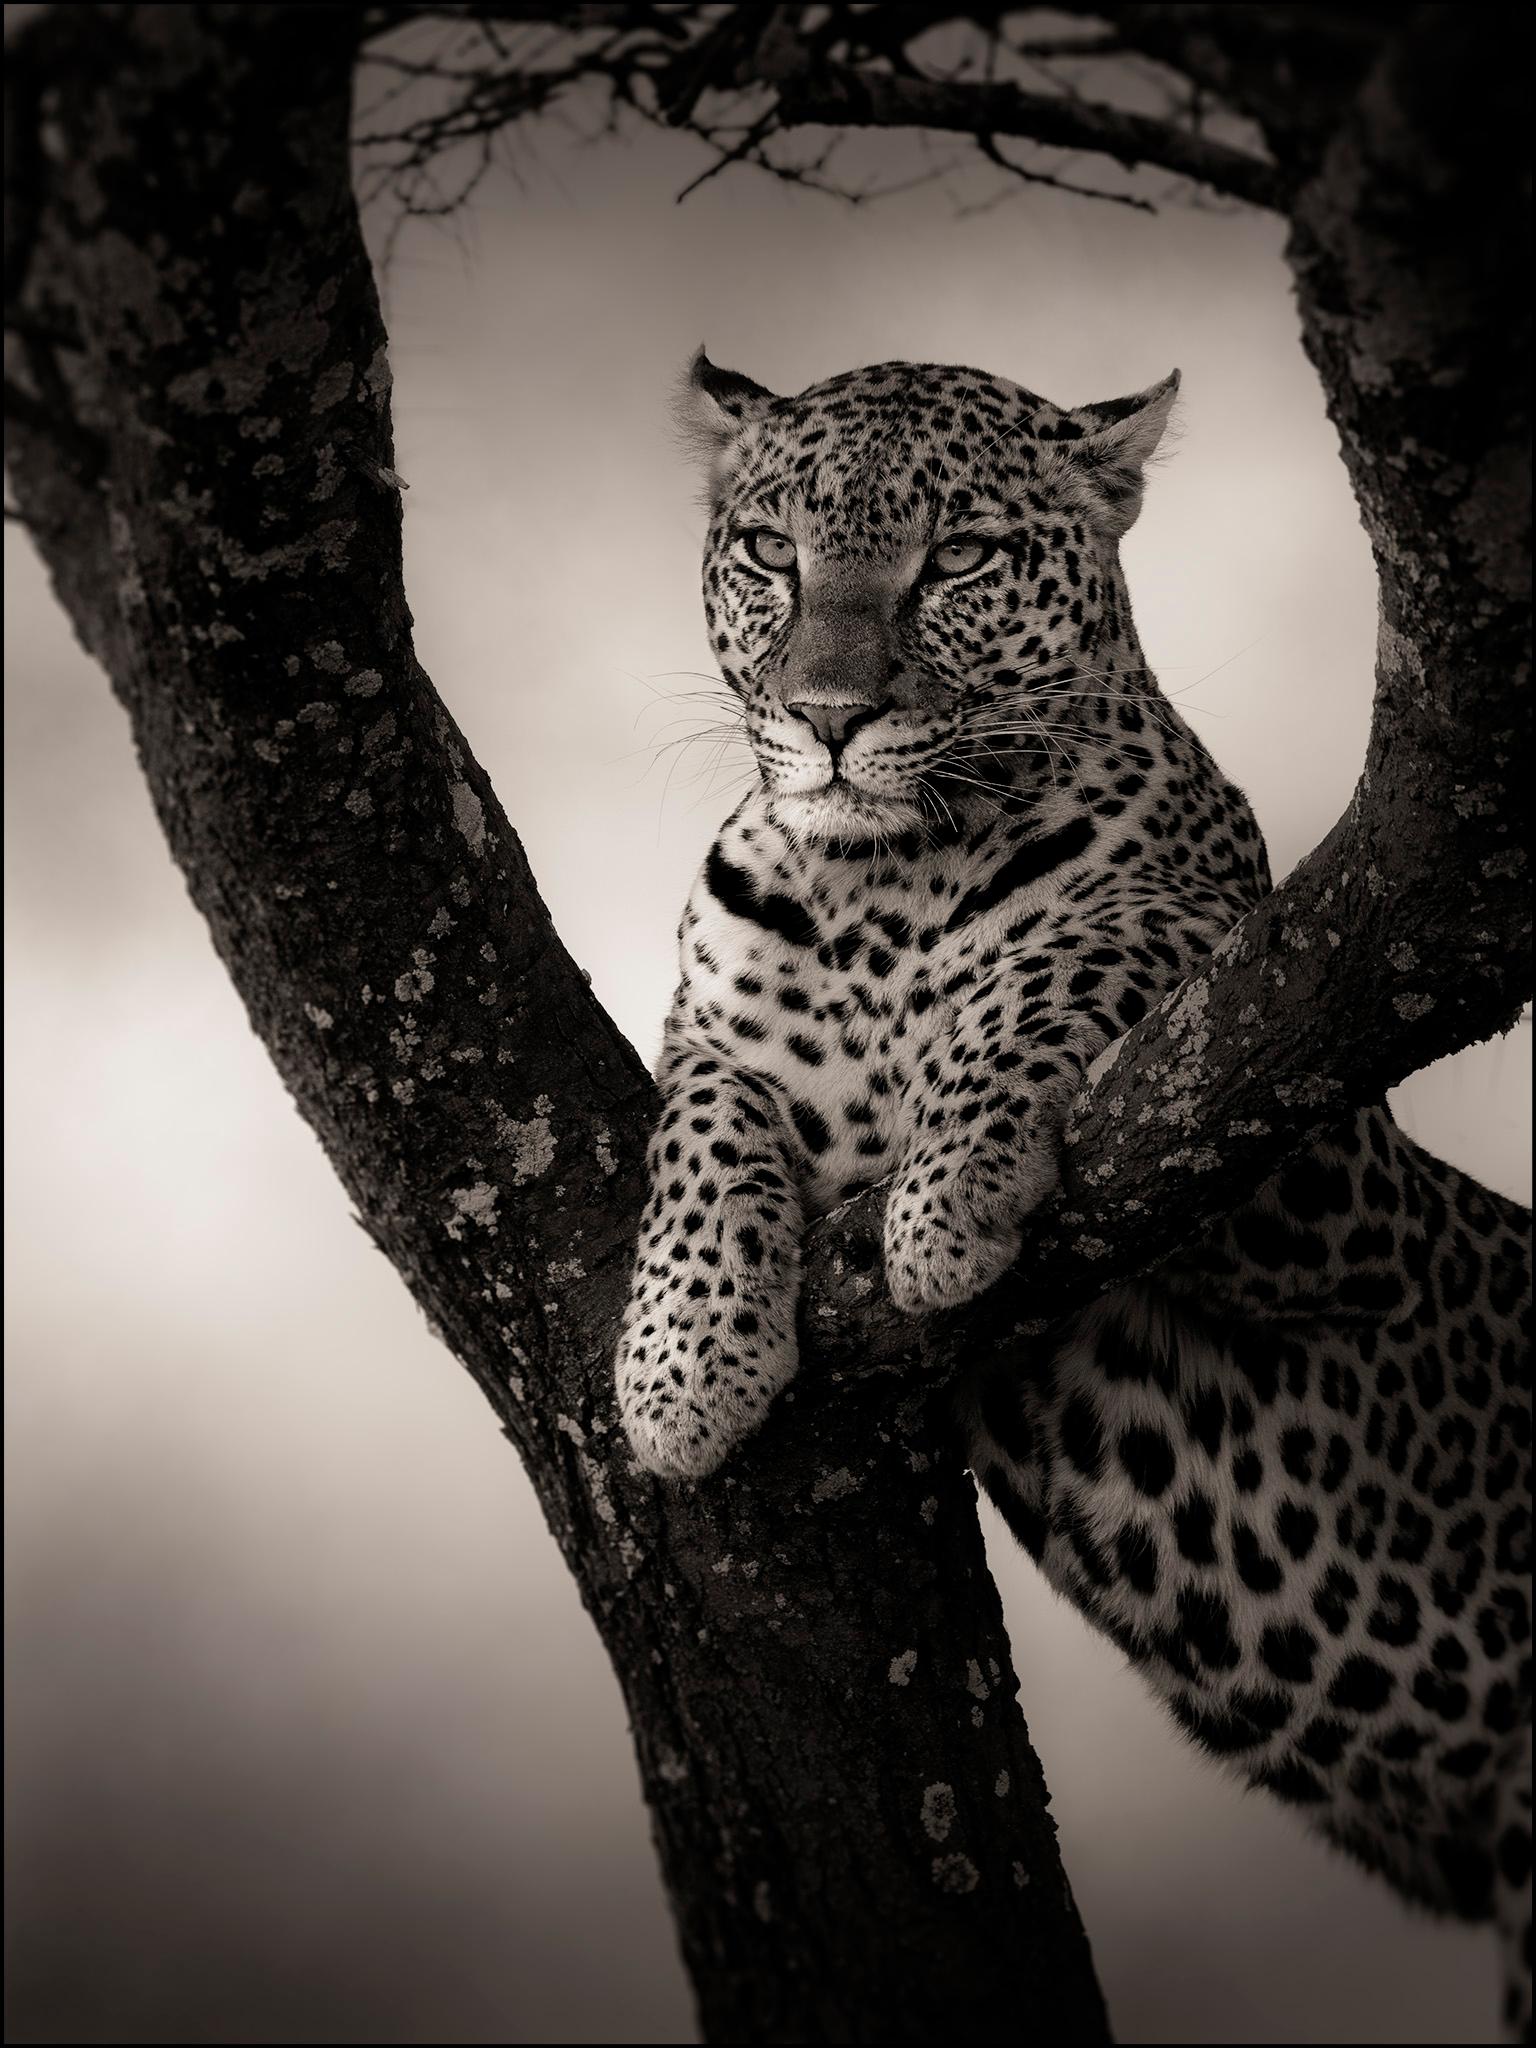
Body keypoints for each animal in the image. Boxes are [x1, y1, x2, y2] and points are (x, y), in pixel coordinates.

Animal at [614, 351, 1533, 2037]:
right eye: (773, 553)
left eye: (962, 559)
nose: (827, 718)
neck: (872, 889)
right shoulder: (706, 1027)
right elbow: (701, 1117)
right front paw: (681, 1369)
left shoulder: (1327, 1148)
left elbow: (1083, 947)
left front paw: (944, 1201)